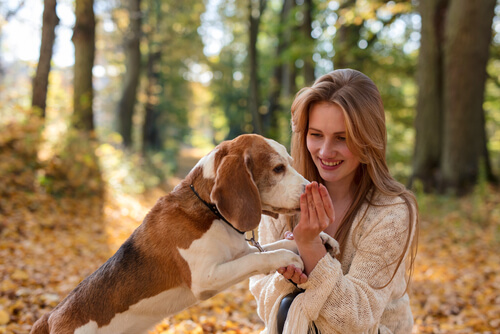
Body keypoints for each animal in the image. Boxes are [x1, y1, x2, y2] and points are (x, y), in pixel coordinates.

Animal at [31, 134, 320, 334]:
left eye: (290, 164)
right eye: (278, 169)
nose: (311, 187)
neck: (209, 209)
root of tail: (50, 317)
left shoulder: (238, 252)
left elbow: (274, 246)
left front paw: (317, 243)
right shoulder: (206, 277)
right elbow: (262, 257)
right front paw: (288, 258)